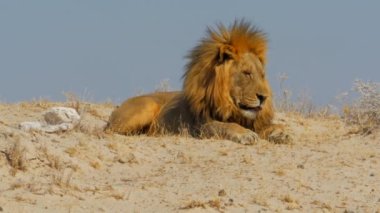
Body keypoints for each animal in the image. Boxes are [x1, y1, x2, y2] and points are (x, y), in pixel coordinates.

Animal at [107, 20, 290, 145]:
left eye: (262, 75)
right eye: (247, 73)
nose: (264, 97)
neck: (229, 106)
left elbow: (272, 126)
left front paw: (280, 133)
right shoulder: (201, 126)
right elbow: (225, 126)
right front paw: (245, 134)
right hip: (145, 107)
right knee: (108, 131)